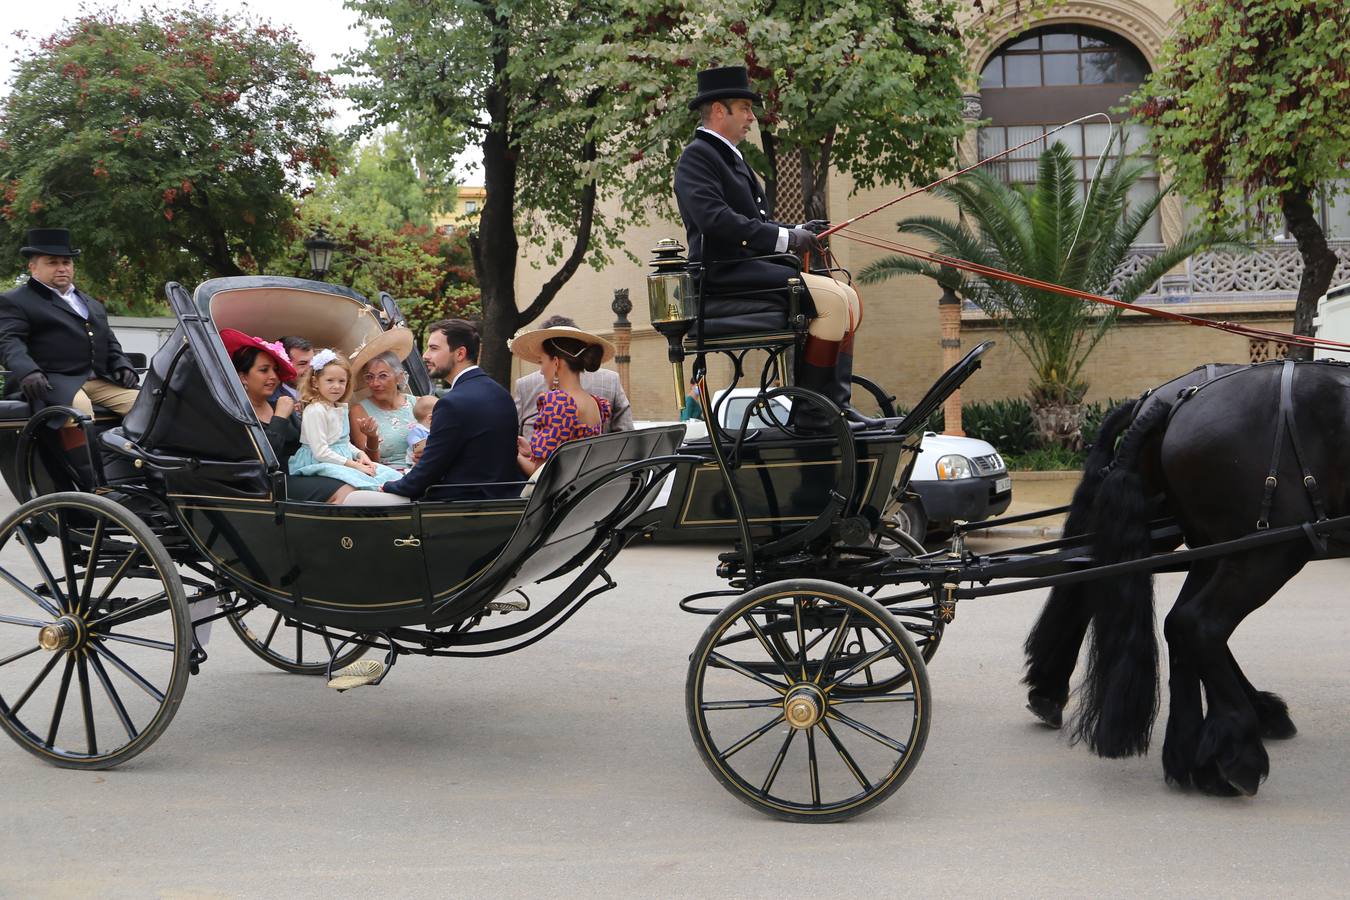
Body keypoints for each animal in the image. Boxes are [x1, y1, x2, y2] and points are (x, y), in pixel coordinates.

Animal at [1020, 358, 1339, 793]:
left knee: (1175, 621)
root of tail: (1157, 400)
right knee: (1198, 623)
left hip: (1209, 544)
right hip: (1264, 551)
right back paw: (1238, 749)